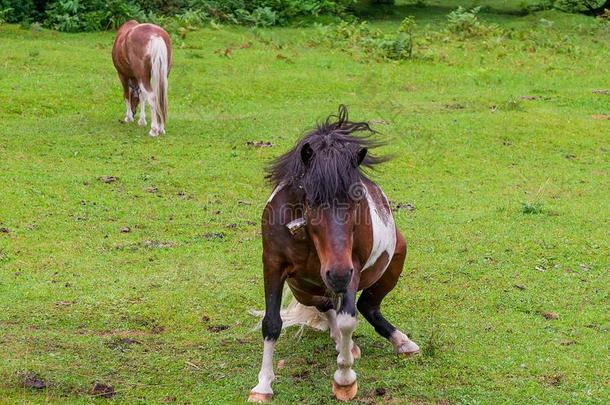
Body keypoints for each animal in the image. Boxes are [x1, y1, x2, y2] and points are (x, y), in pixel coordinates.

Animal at [247, 105, 418, 400]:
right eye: (311, 200)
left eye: (357, 199)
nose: (336, 275)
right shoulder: (273, 264)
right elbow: (271, 323)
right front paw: (263, 385)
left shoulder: (351, 268)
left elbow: (349, 319)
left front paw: (345, 379)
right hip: (304, 290)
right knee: (327, 306)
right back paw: (342, 342)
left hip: (392, 265)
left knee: (367, 306)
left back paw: (400, 341)